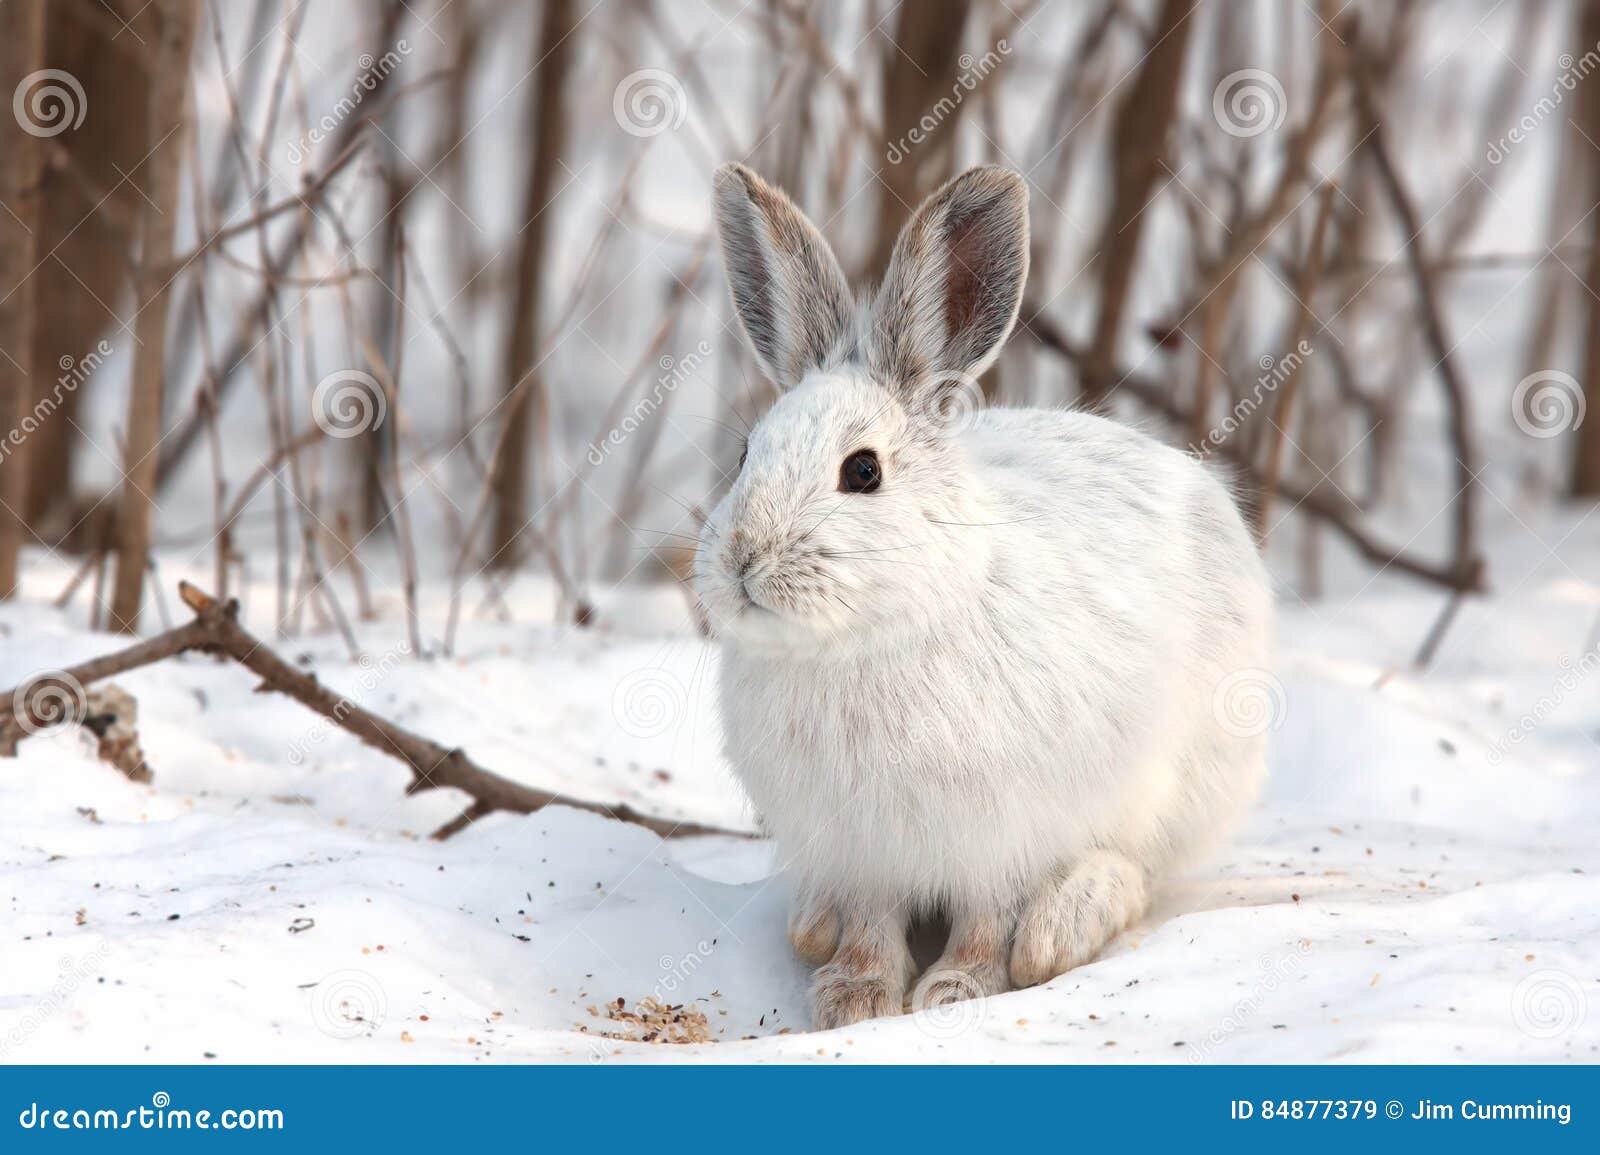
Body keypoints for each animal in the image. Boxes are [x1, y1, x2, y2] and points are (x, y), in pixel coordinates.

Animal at [695, 162, 1273, 1030]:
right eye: (742, 456)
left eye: (862, 470)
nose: (743, 559)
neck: (866, 637)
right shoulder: (863, 850)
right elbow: (871, 921)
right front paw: (855, 998)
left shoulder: (1003, 835)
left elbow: (987, 918)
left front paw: (956, 990)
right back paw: (814, 921)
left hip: (1186, 781)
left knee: (1136, 871)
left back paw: (1062, 927)